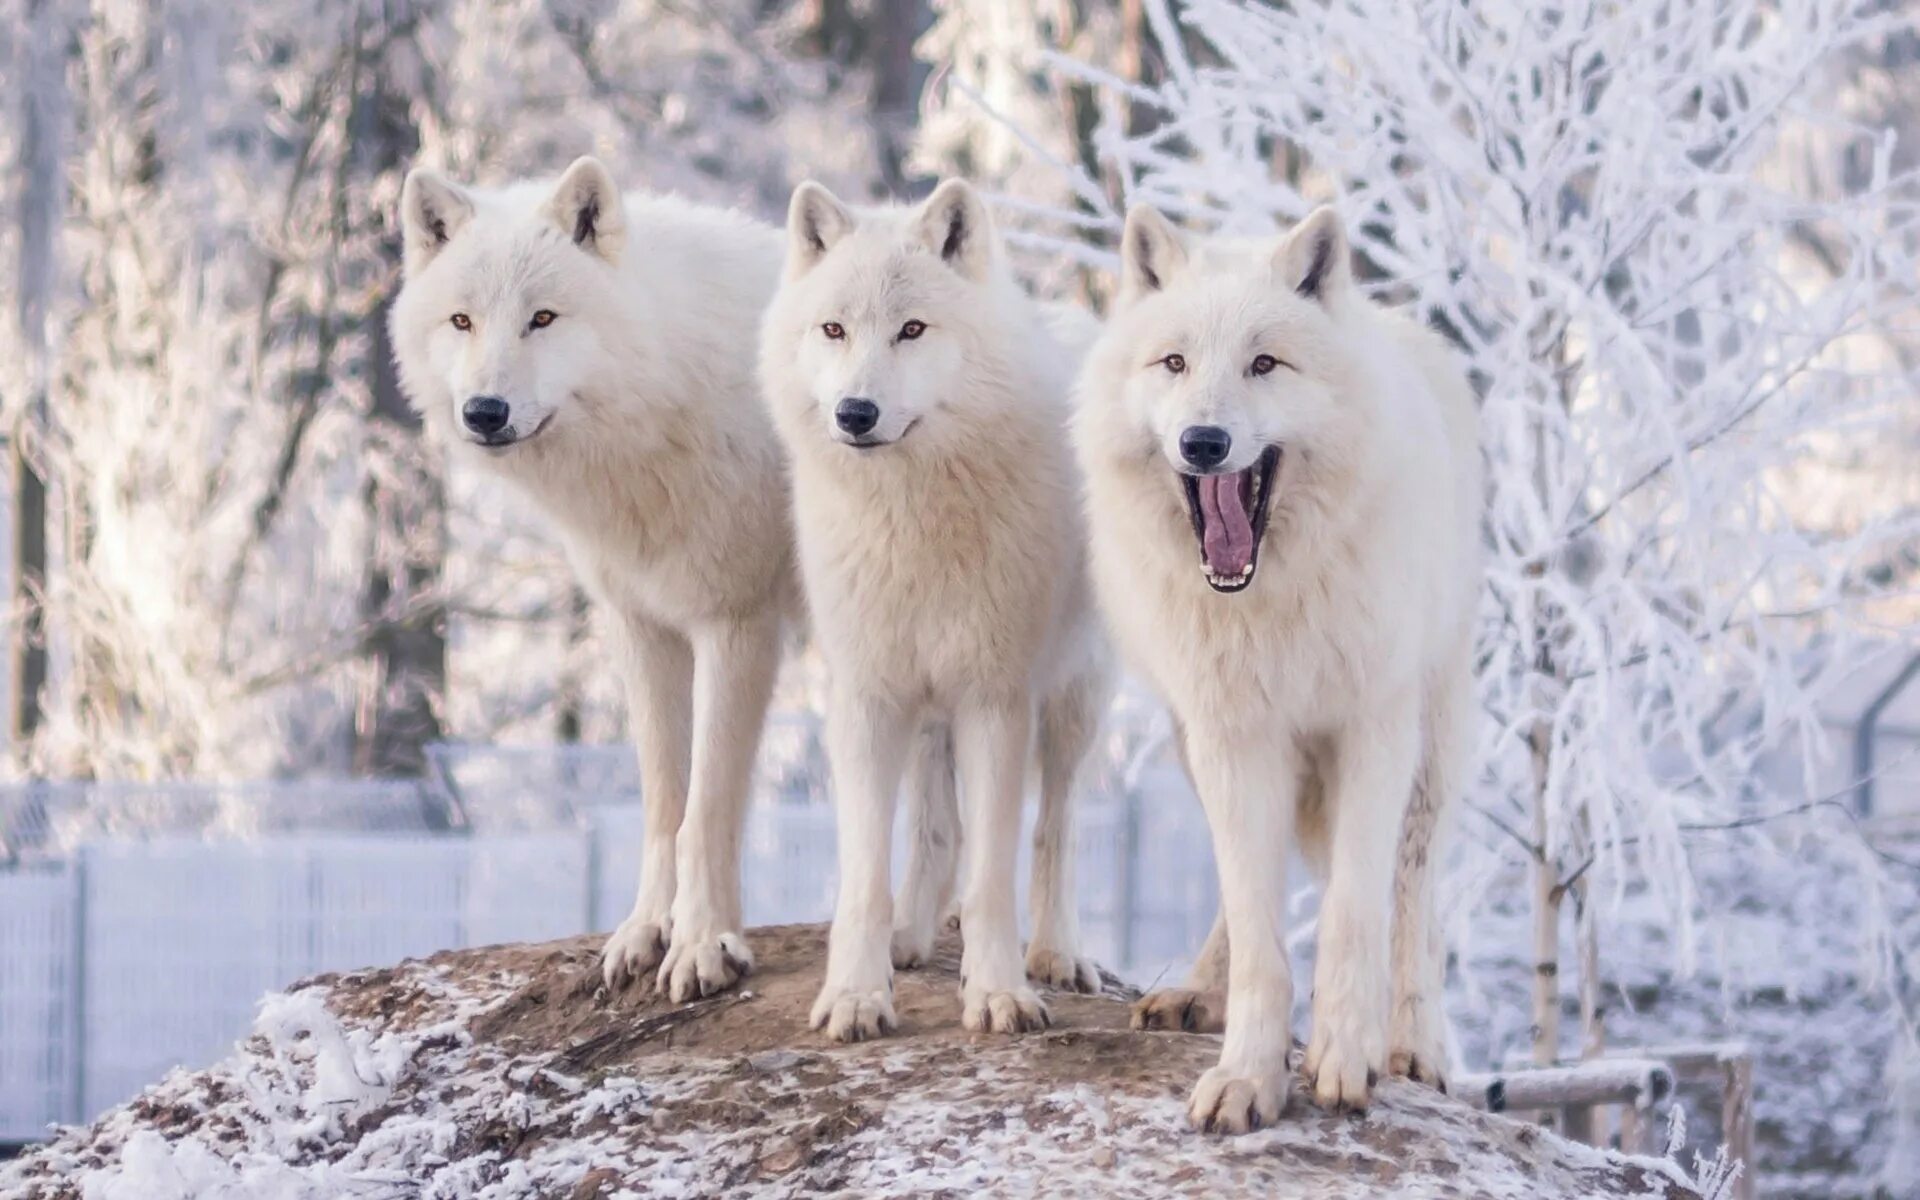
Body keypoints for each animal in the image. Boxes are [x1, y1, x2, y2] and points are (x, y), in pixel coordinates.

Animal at [389, 159, 794, 998]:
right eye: (462, 321)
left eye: (543, 319)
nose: (485, 411)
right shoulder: (643, 627)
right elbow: (666, 800)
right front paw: (648, 932)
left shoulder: (737, 624)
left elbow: (708, 805)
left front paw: (703, 945)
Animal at [760, 177, 1113, 1036]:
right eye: (834, 329)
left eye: (912, 330)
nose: (854, 413)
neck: (909, 518)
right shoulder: (867, 696)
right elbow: (865, 873)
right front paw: (857, 994)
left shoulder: (996, 698)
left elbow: (994, 876)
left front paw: (999, 993)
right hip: (926, 707)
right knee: (934, 826)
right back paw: (912, 935)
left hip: (1074, 699)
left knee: (1056, 828)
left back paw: (1057, 952)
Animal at [1075, 201, 1474, 1128]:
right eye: (1175, 362)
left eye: (1265, 363)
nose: (1204, 440)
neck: (1269, 596)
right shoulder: (1236, 737)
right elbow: (1258, 924)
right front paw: (1250, 1076)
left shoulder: (1372, 730)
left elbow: (1355, 913)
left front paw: (1345, 1059)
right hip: (1193, 748)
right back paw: (1198, 992)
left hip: (1432, 749)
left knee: (1415, 897)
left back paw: (1416, 1044)